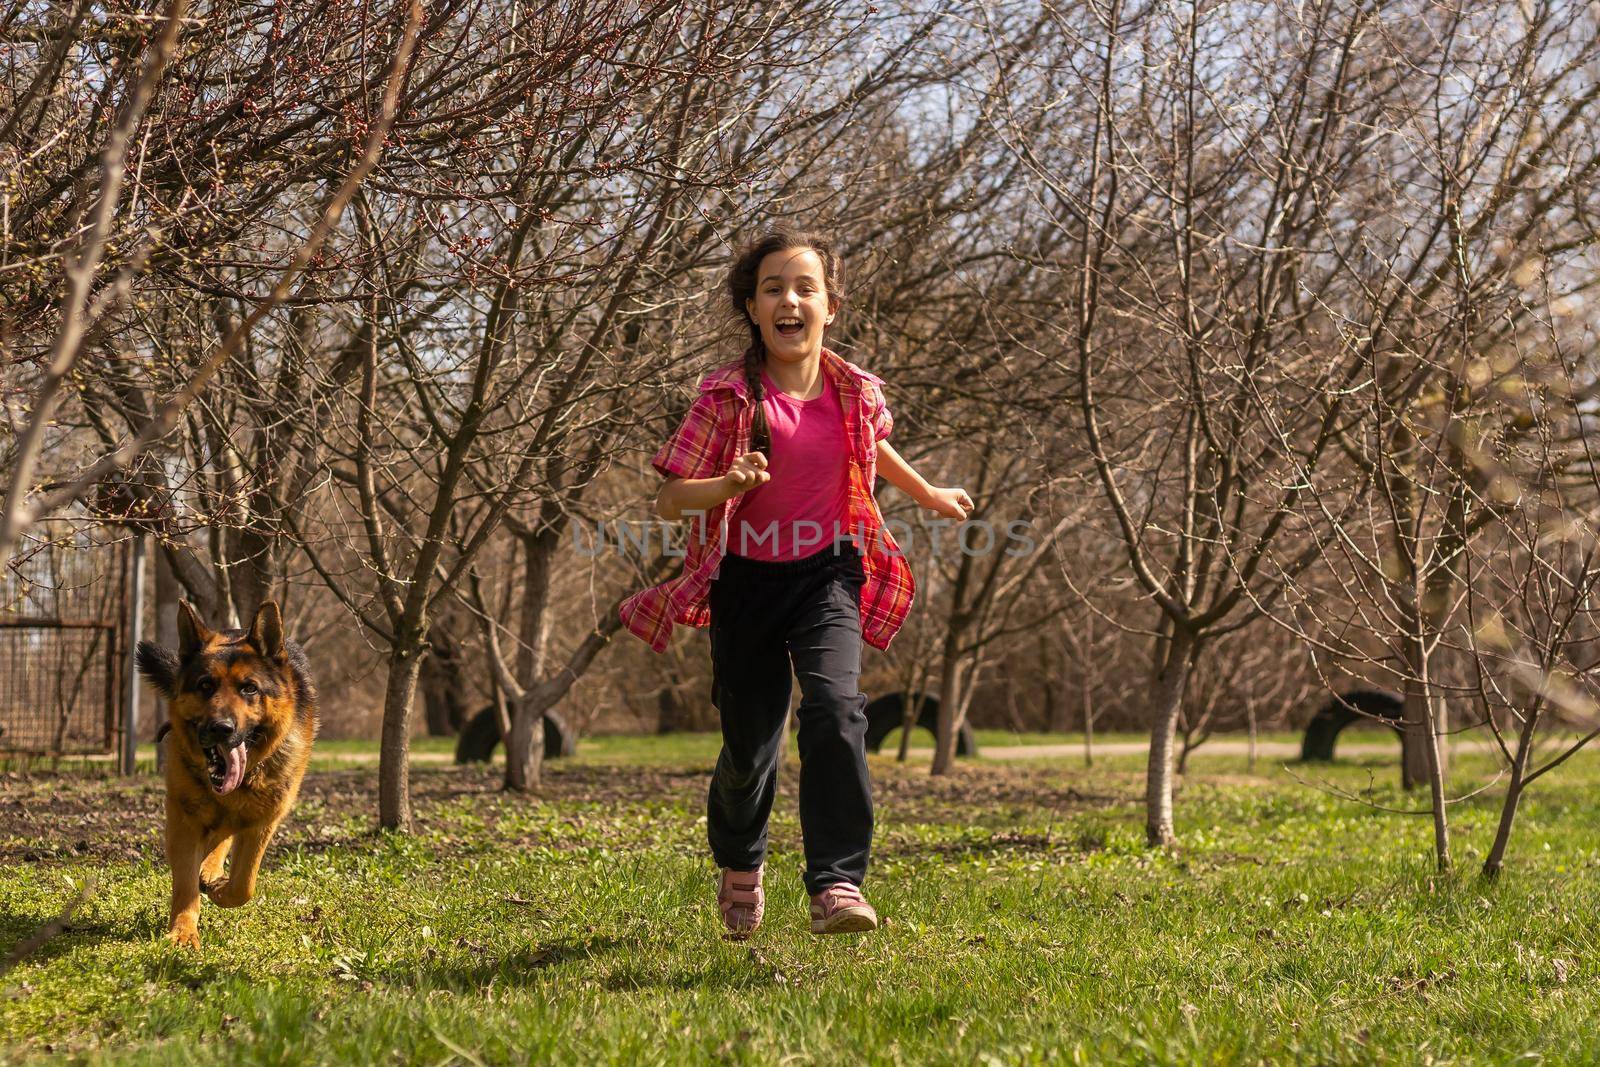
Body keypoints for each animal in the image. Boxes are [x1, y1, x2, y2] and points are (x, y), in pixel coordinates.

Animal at [135, 601, 318, 953]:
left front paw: (220, 889)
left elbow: (243, 885)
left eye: (250, 688)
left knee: (224, 838)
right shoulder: (183, 820)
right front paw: (183, 931)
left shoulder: (262, 824)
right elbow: (185, 883)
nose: (221, 728)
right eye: (205, 685)